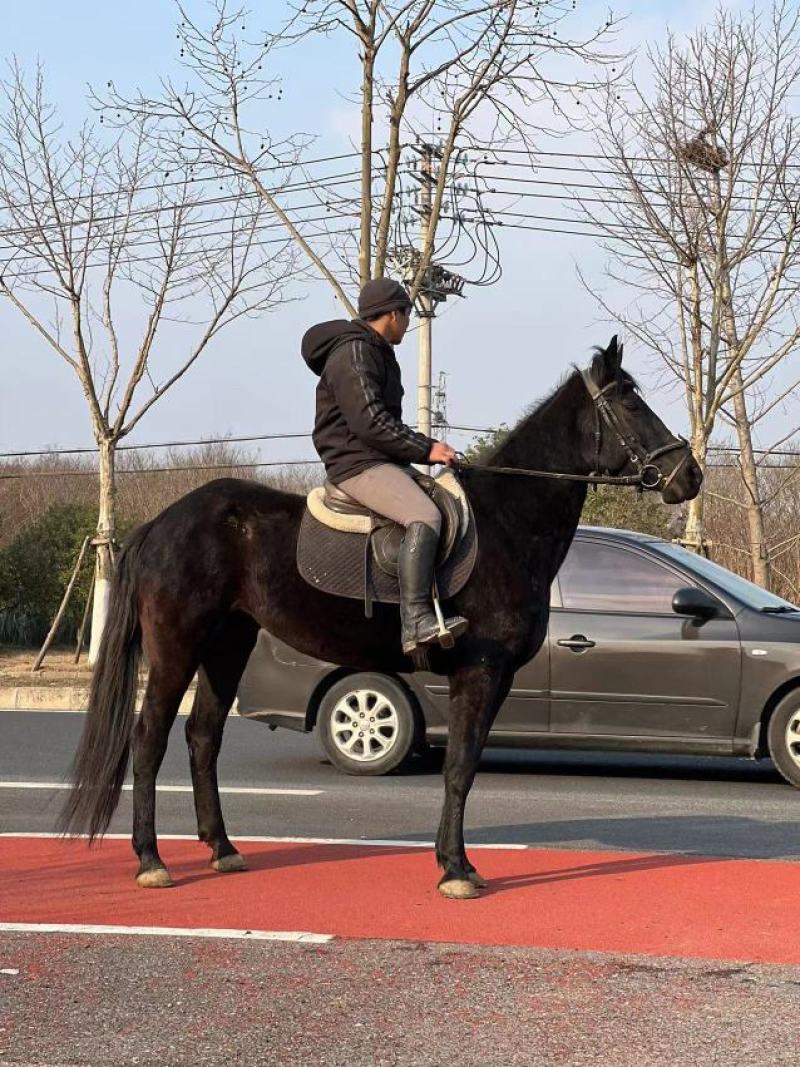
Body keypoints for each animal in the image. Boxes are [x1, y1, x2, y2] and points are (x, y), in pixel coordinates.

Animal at [60, 336, 701, 899]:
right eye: (628, 400)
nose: (689, 476)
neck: (505, 523)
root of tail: (162, 523)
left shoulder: (494, 680)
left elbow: (466, 766)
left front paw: (455, 863)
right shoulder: (480, 674)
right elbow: (460, 769)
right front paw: (455, 870)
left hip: (227, 646)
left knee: (202, 737)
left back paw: (222, 849)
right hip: (177, 647)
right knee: (149, 739)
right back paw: (151, 860)